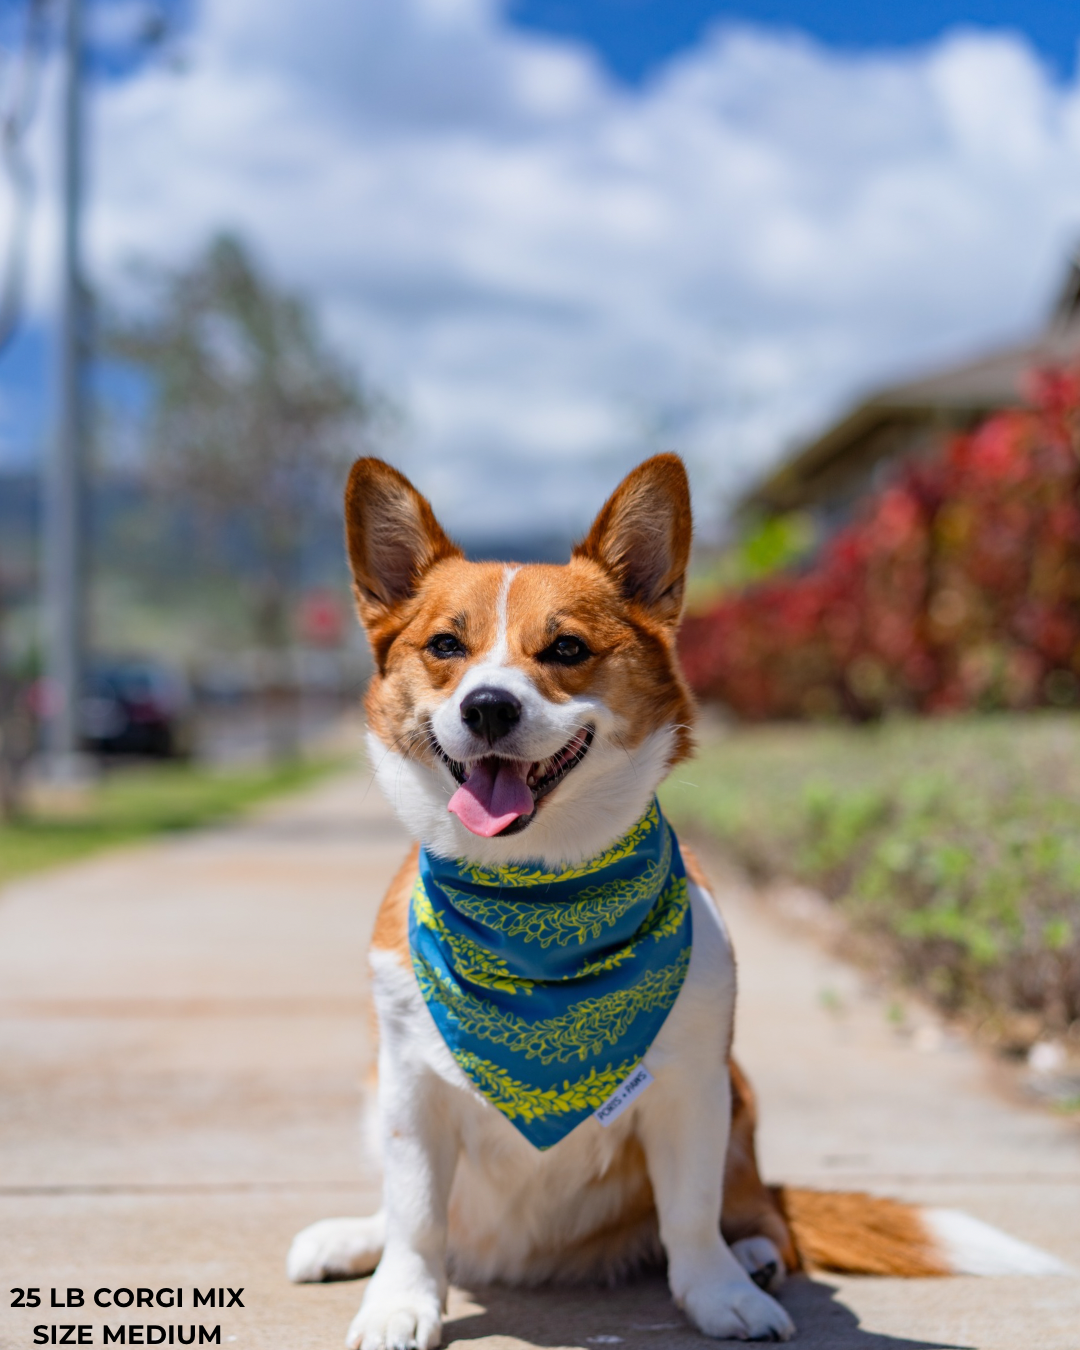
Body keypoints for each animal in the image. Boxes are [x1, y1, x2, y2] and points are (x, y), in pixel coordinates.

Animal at [288, 456, 1069, 1350]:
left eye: (567, 648)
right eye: (446, 646)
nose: (488, 707)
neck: (537, 897)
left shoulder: (695, 1084)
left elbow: (691, 1211)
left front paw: (720, 1294)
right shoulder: (409, 1088)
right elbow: (417, 1214)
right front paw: (400, 1300)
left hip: (742, 1094)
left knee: (764, 1215)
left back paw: (755, 1255)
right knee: (408, 1213)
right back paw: (353, 1238)